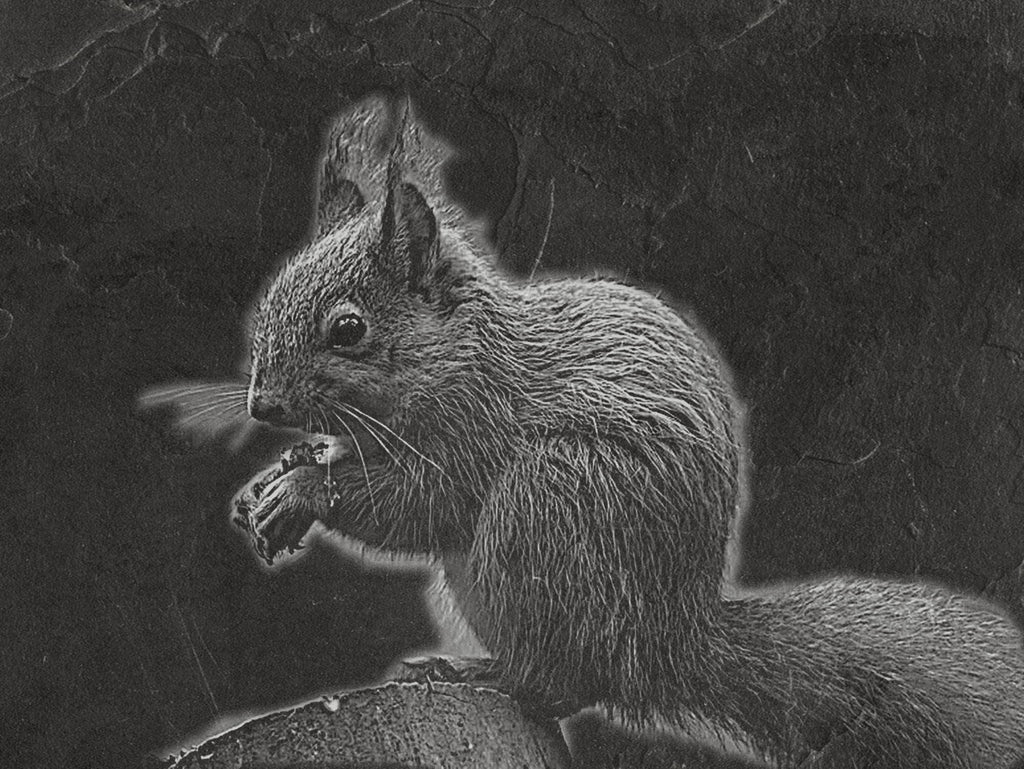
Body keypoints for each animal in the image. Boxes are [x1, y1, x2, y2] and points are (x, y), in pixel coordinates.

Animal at [208, 95, 1024, 767]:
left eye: (348, 329)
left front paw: (303, 491)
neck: (457, 352)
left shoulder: (477, 425)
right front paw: (271, 482)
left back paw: (477, 669)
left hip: (550, 510)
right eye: (269, 304)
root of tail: (668, 642)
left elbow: (417, 503)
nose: (263, 404)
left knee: (562, 681)